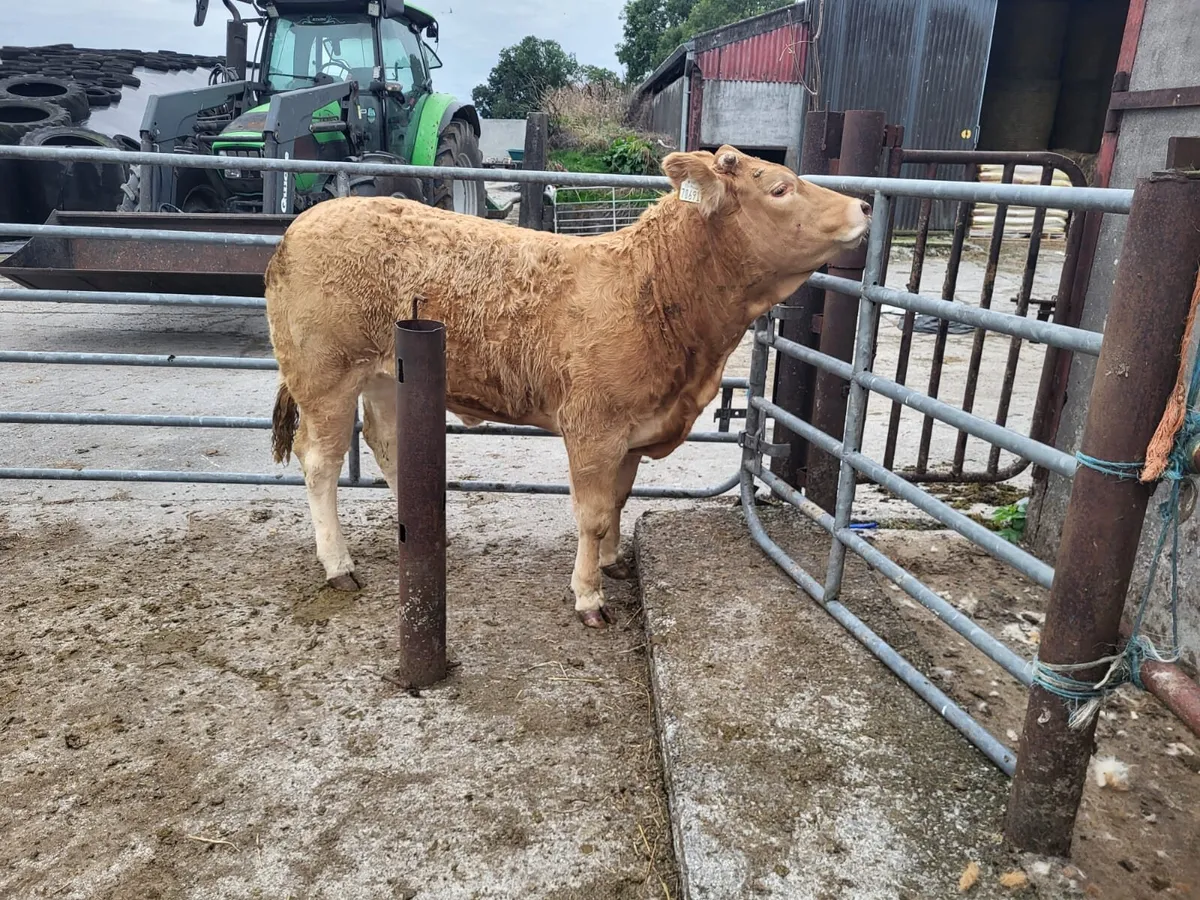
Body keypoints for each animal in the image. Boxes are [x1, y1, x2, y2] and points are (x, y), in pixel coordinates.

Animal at [265, 145, 871, 628]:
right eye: (780, 187)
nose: (864, 207)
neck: (653, 288)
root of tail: (299, 227)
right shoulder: (593, 429)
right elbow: (593, 513)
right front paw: (588, 596)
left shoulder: (632, 430)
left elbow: (619, 501)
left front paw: (613, 560)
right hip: (325, 377)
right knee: (319, 462)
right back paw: (338, 565)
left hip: (387, 377)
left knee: (389, 446)